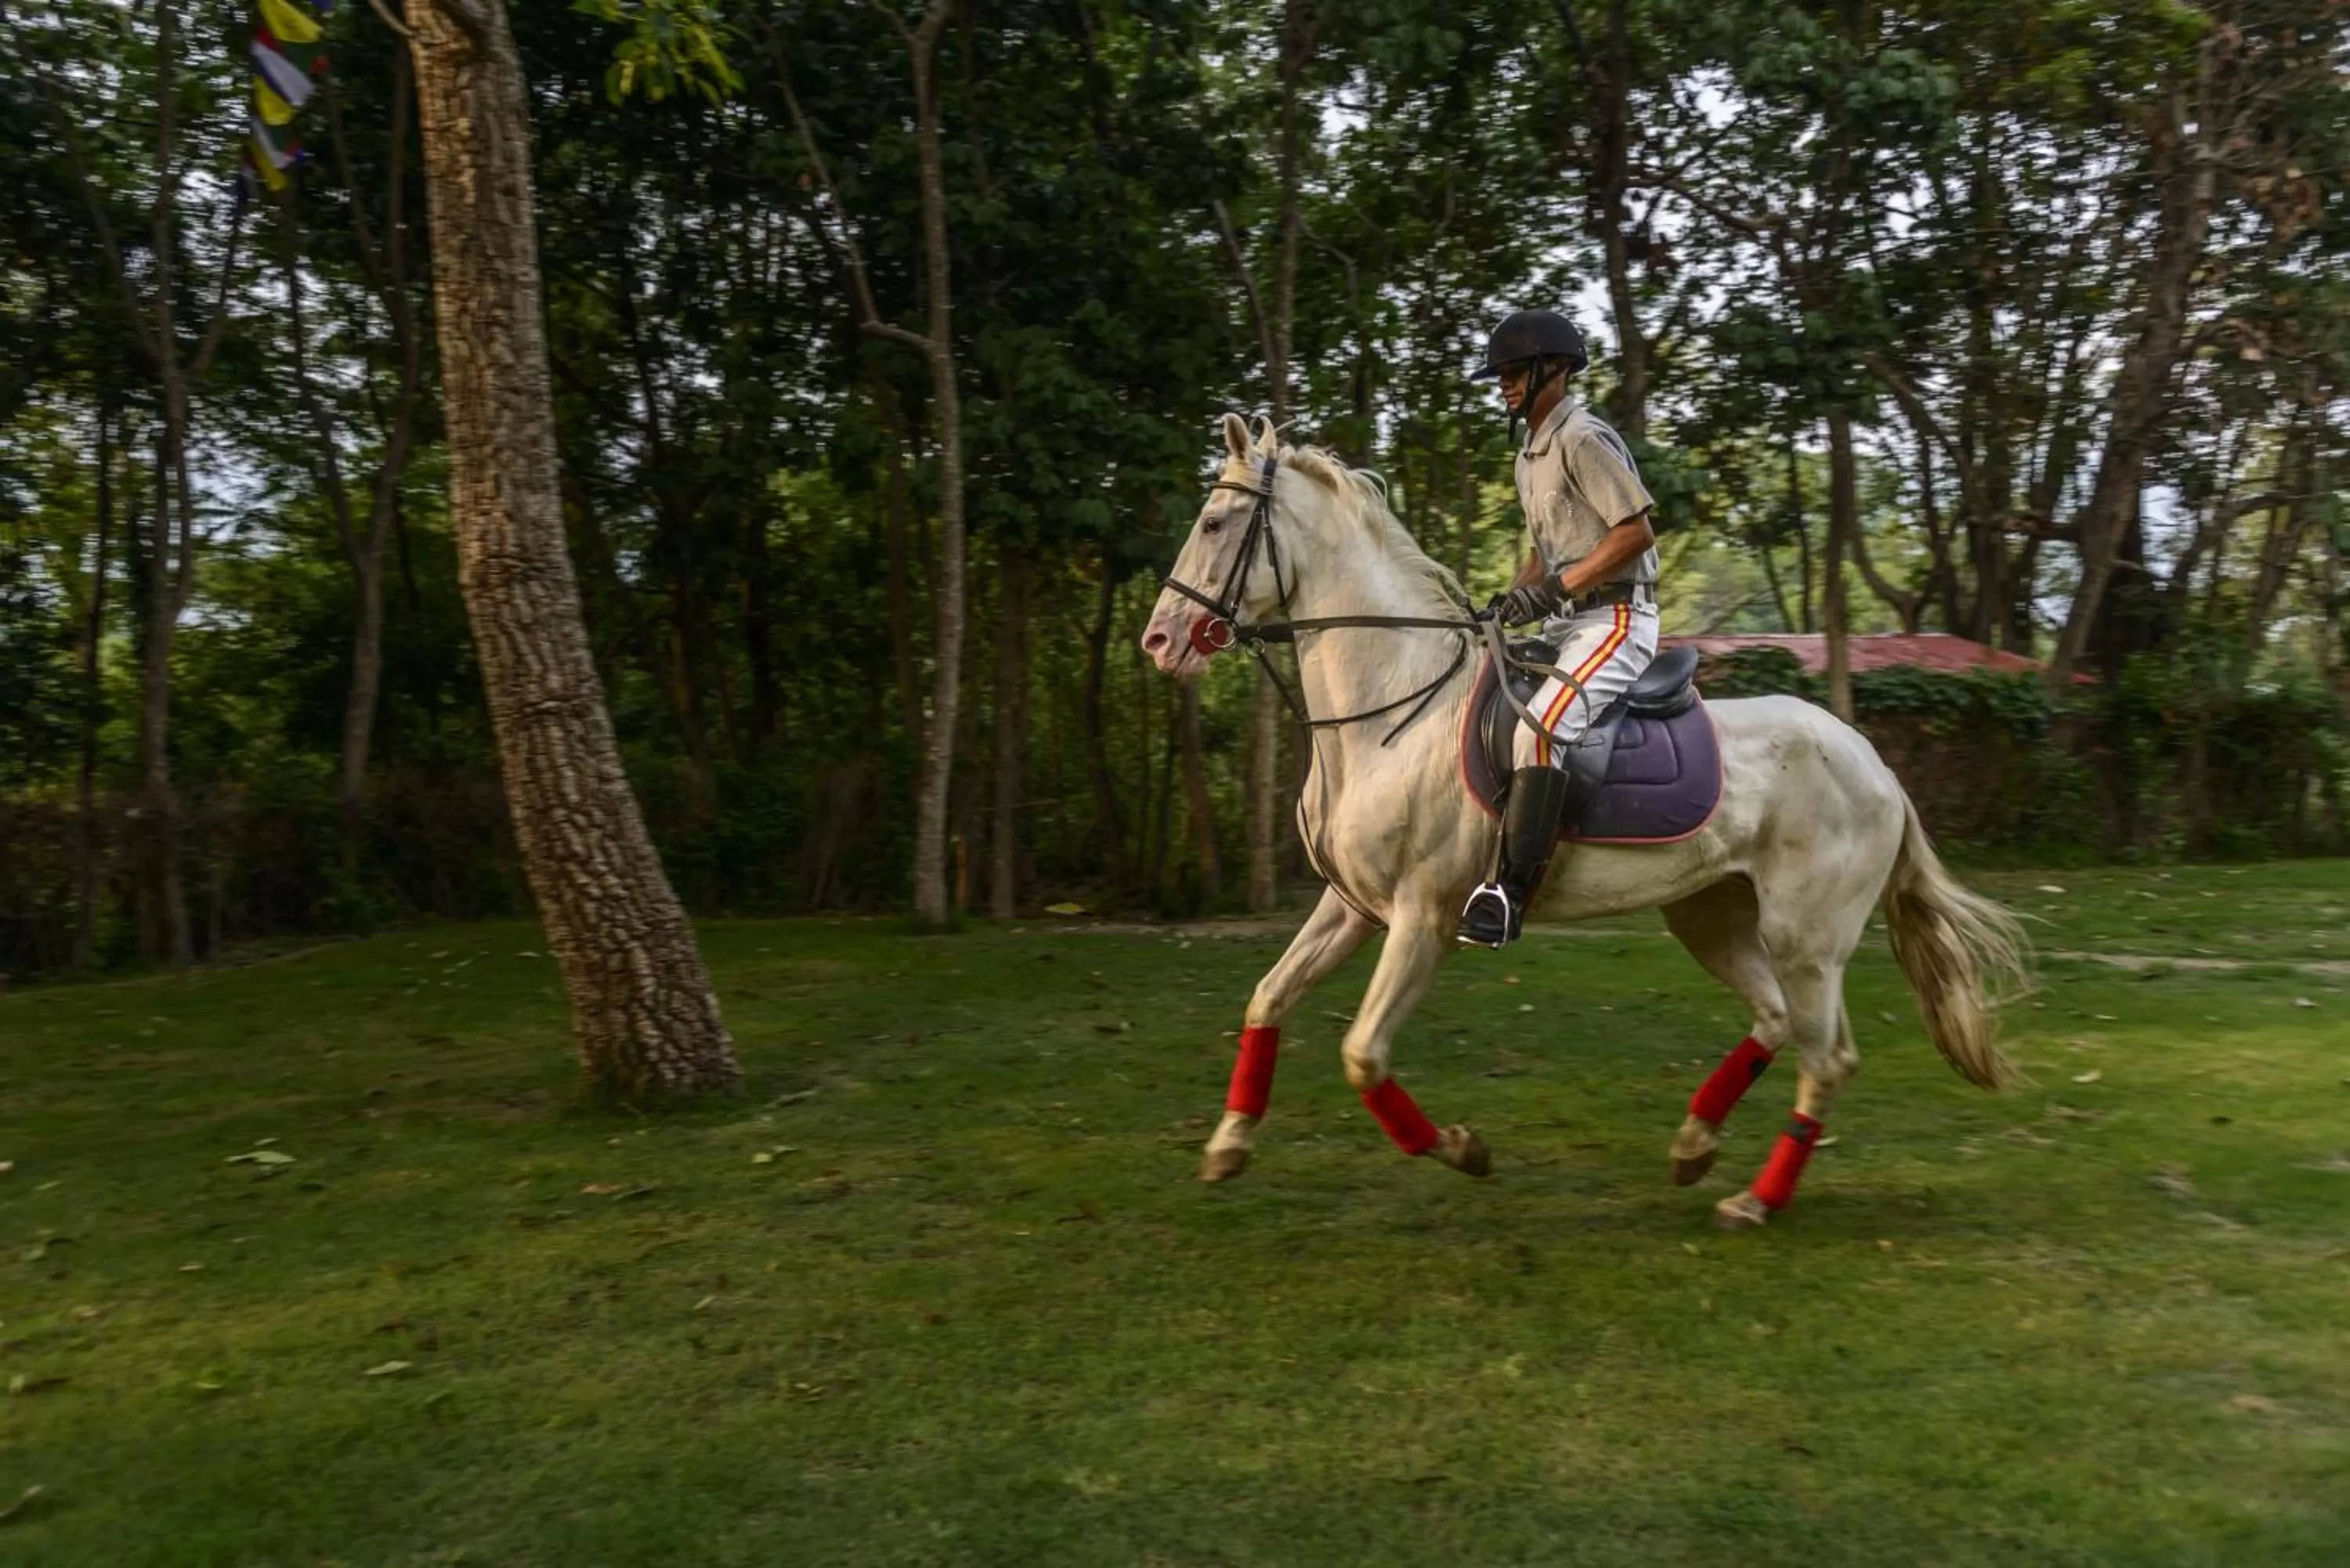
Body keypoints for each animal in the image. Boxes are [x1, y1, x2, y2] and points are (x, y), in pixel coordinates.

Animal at [1139, 415, 2029, 1228]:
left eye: (1214, 523)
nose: (1159, 642)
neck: (1393, 709)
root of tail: (1878, 767)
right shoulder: (1352, 907)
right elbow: (1267, 999)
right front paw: (1227, 1145)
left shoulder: (1421, 919)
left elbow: (1362, 1056)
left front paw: (1463, 1149)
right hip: (1708, 914)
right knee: (1774, 1019)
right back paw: (1693, 1146)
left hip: (1806, 939)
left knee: (1828, 1056)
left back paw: (1755, 1199)